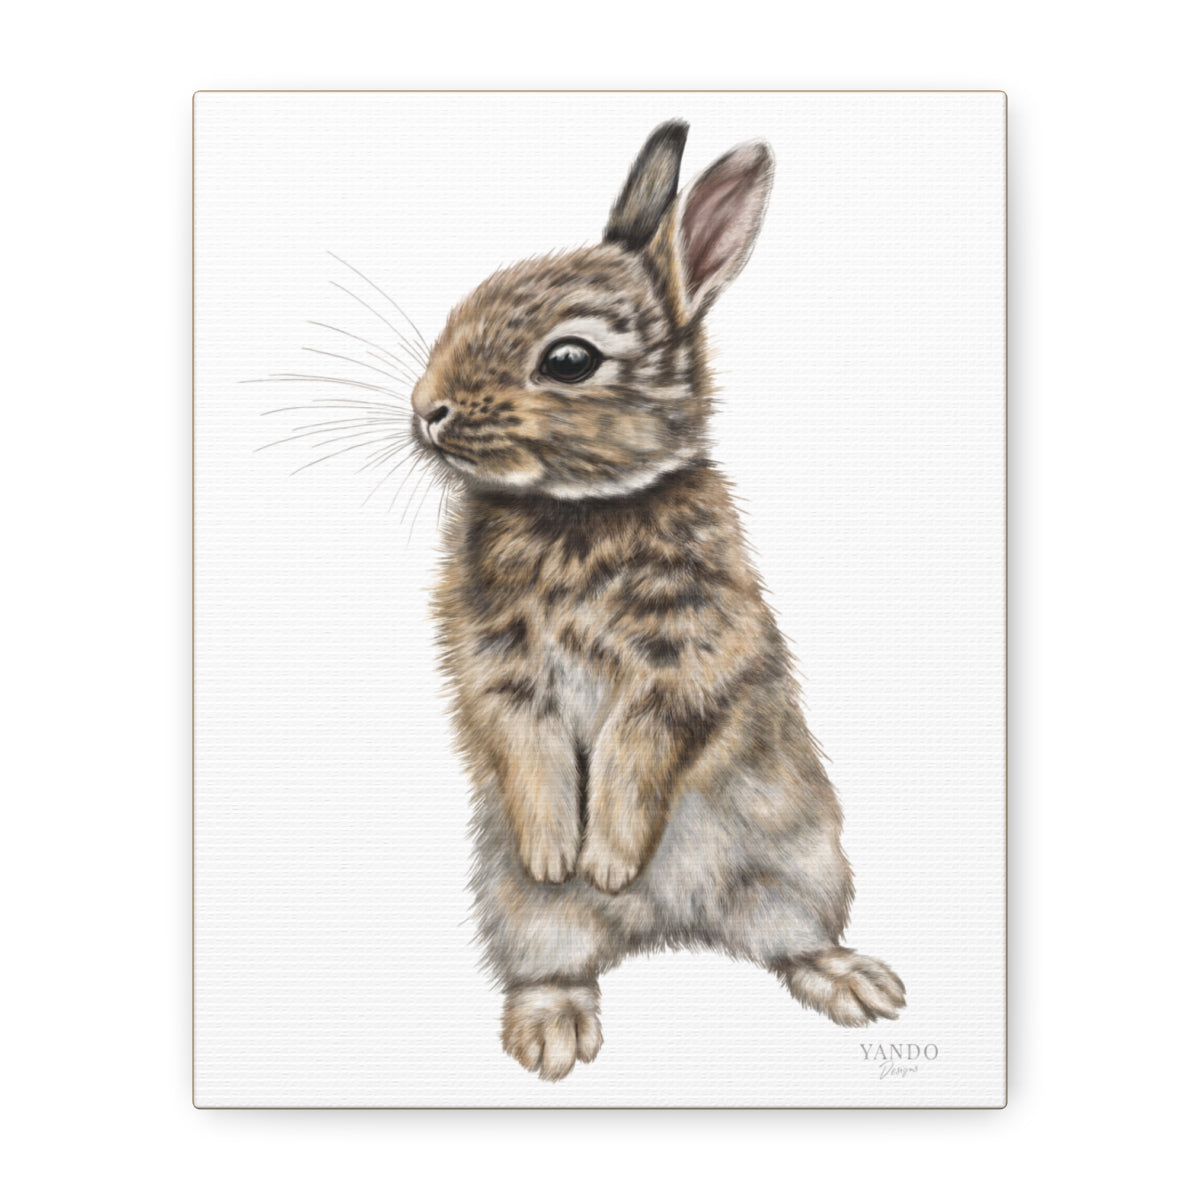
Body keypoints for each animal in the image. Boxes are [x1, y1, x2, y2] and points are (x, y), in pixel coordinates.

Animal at [409, 120, 905, 1081]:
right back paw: (553, 1029)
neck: (580, 509)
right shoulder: (499, 668)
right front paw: (560, 853)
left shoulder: (685, 659)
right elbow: (527, 747)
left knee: (788, 941)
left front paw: (606, 860)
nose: (427, 409)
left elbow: (639, 754)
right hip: (518, 909)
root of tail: (667, 929)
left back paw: (852, 982)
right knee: (556, 957)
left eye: (569, 360)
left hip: (803, 866)